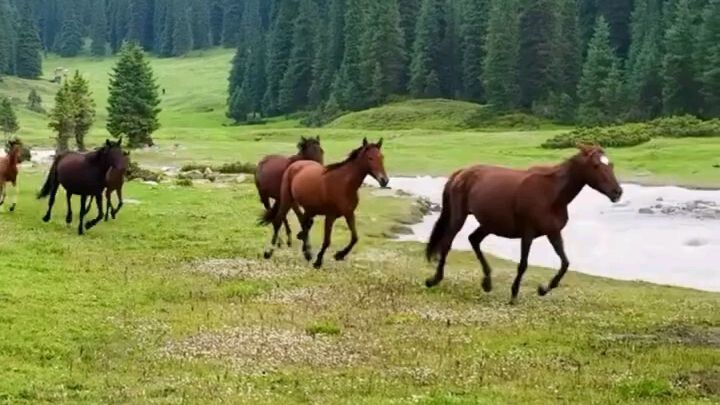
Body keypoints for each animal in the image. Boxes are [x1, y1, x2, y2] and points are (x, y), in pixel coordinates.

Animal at [261, 138, 389, 268]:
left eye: (382, 157)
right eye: (370, 158)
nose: (384, 180)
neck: (343, 184)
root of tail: (294, 165)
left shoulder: (349, 213)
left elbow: (355, 237)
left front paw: (339, 255)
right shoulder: (330, 216)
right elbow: (327, 241)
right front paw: (318, 261)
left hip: (309, 208)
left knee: (305, 223)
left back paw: (306, 252)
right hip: (287, 200)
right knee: (278, 221)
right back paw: (269, 252)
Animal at [425, 144, 623, 304]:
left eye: (611, 165)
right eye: (596, 166)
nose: (617, 192)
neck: (551, 194)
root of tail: (461, 172)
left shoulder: (553, 232)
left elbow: (565, 263)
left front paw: (543, 289)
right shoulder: (527, 233)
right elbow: (523, 264)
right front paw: (513, 295)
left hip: (489, 223)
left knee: (474, 239)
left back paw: (487, 282)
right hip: (460, 216)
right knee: (447, 243)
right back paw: (434, 280)